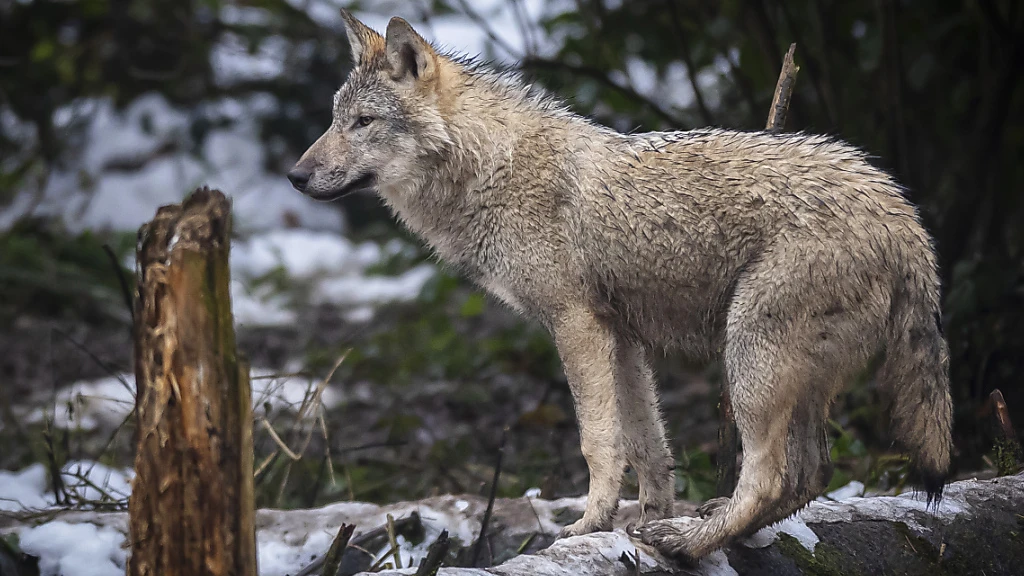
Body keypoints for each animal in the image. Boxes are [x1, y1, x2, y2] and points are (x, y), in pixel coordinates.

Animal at [287, 10, 954, 562]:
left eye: (363, 122)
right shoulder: (622, 337)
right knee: (811, 474)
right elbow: (648, 446)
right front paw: (641, 521)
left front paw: (590, 524)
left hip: (748, 359)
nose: (295, 176)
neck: (490, 169)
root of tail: (901, 213)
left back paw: (690, 541)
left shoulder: (576, 326)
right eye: (334, 120)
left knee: (769, 476)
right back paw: (703, 529)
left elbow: (597, 441)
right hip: (793, 377)